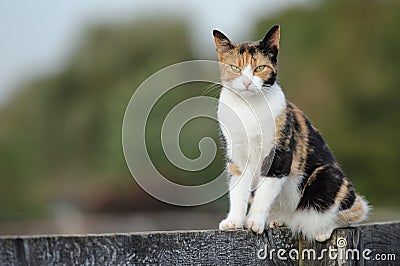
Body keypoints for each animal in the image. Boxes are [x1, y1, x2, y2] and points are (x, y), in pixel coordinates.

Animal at [212, 25, 368, 243]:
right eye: (235, 68)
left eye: (259, 68)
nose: (247, 83)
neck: (249, 108)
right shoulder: (236, 156)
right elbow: (237, 190)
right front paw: (234, 221)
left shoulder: (280, 155)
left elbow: (264, 193)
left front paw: (254, 222)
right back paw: (279, 220)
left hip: (327, 176)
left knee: (353, 212)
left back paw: (321, 229)